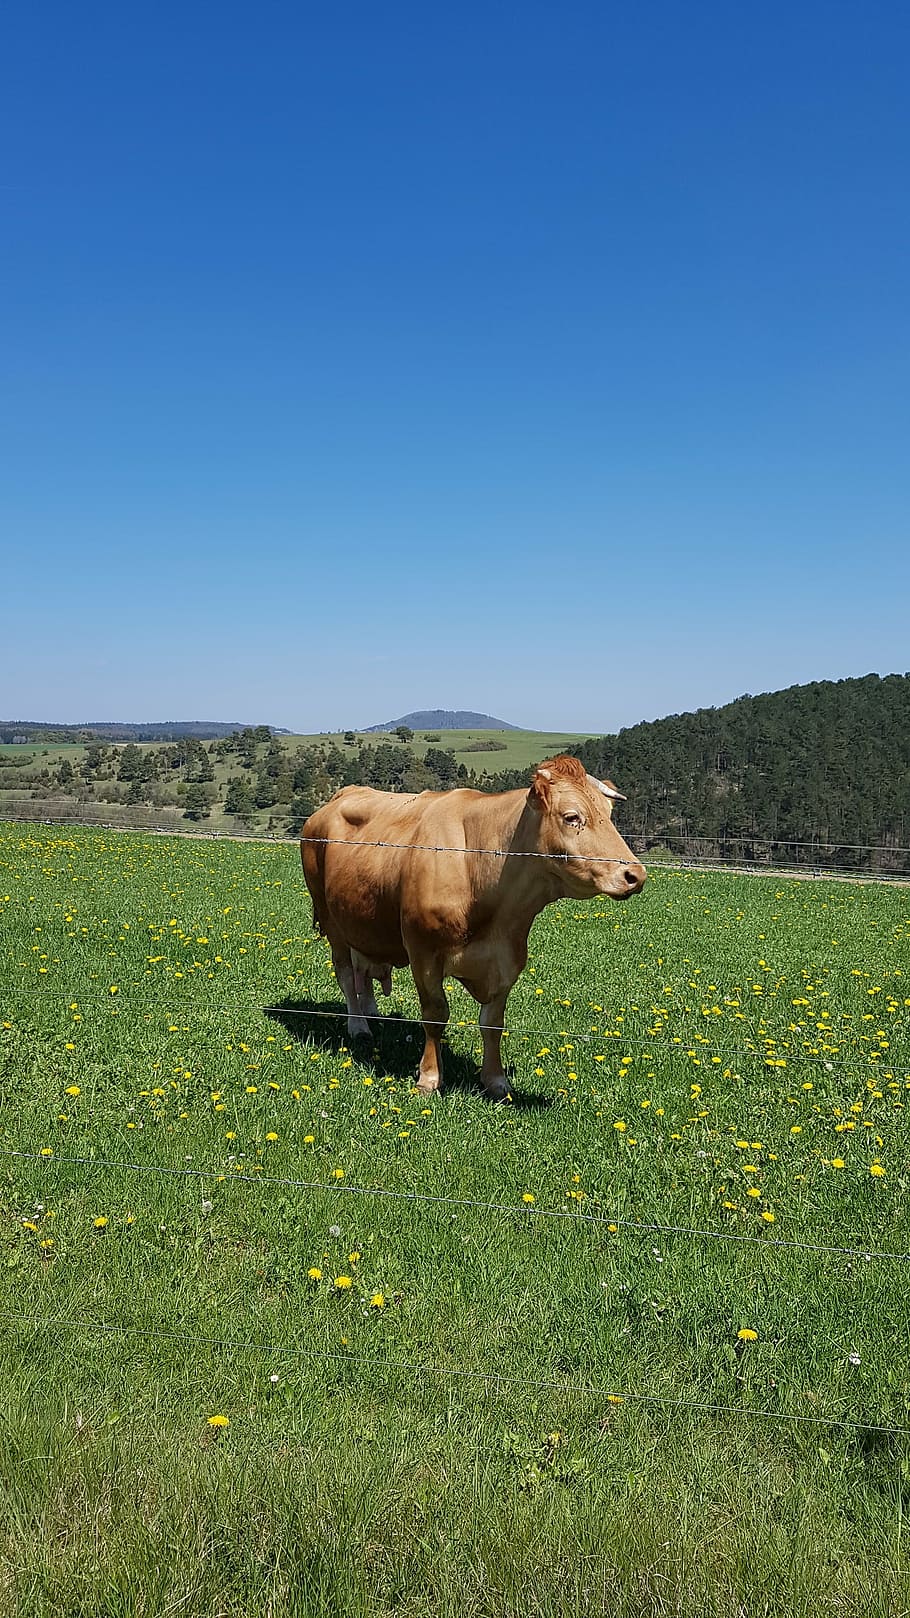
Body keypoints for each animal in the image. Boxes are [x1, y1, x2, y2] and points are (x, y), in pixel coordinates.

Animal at [300, 754, 646, 1099]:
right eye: (572, 816)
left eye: (609, 815)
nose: (635, 875)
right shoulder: (423, 953)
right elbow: (435, 1015)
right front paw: (429, 1078)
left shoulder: (507, 958)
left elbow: (493, 1023)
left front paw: (495, 1080)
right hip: (331, 921)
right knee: (347, 975)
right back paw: (358, 1026)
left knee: (363, 970)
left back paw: (369, 1011)